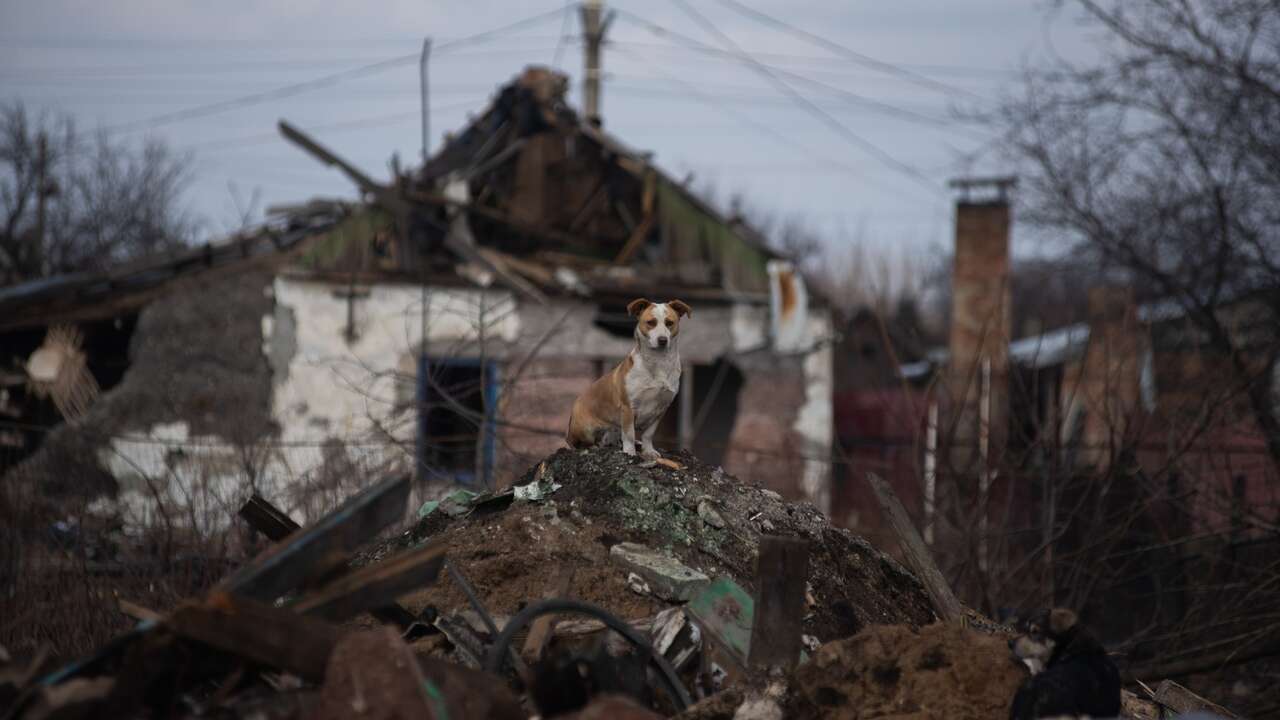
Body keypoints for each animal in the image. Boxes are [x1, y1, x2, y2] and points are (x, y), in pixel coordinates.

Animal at [568, 298, 691, 456]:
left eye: (669, 322)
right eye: (651, 322)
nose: (662, 340)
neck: (658, 362)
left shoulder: (661, 409)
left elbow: (648, 434)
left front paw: (648, 450)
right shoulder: (628, 407)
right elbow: (629, 434)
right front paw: (629, 452)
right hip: (585, 429)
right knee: (578, 443)